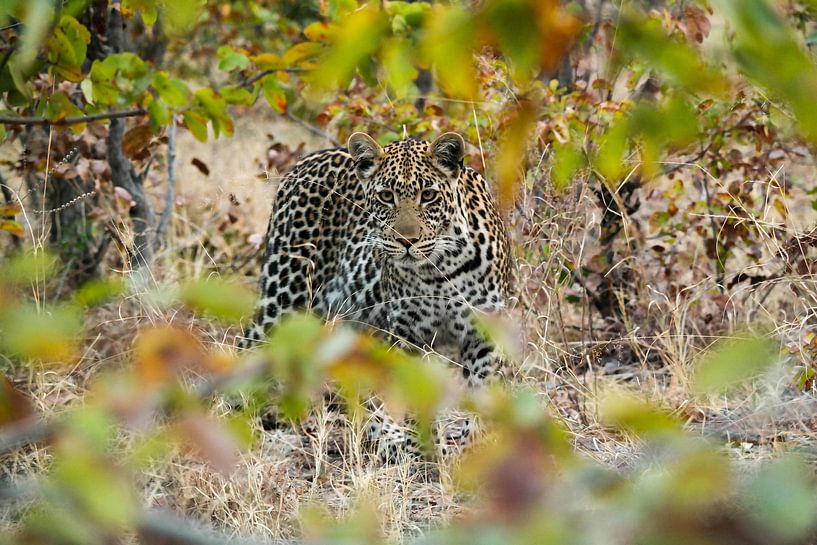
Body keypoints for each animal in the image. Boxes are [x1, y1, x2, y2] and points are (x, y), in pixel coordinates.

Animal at [237, 131, 510, 460]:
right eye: (386, 196)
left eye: (428, 195)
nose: (407, 241)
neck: (440, 269)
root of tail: (304, 162)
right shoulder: (410, 337)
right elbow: (416, 396)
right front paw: (427, 452)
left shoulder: (484, 334)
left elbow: (483, 393)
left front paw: (472, 451)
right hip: (286, 296)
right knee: (250, 347)